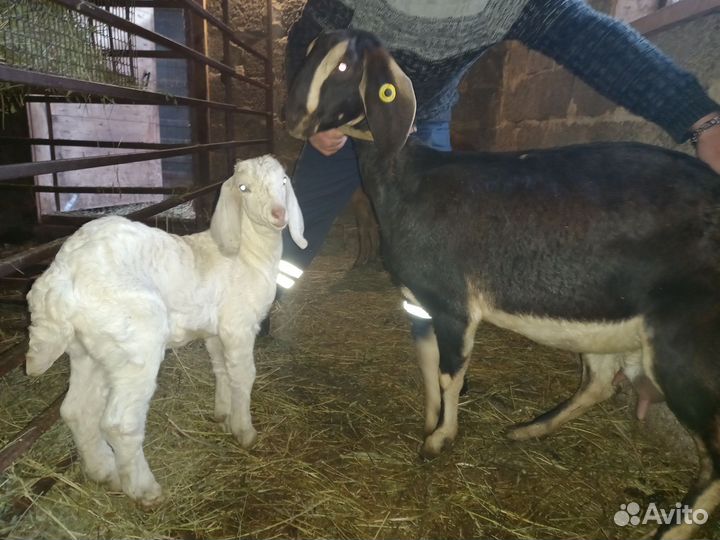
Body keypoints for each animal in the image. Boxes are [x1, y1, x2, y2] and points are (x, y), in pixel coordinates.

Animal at [25, 155, 306, 507]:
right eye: (244, 188)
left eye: (283, 181)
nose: (278, 214)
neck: (246, 255)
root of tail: (59, 276)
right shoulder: (238, 326)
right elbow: (244, 376)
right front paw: (245, 431)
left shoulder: (215, 333)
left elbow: (222, 370)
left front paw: (223, 414)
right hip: (136, 344)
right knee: (119, 423)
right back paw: (144, 490)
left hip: (90, 350)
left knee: (76, 410)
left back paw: (104, 470)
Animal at [284, 29, 720, 539]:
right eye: (310, 52)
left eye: (344, 67)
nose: (292, 119)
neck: (410, 181)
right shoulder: (421, 301)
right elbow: (427, 363)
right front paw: (430, 422)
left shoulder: (454, 305)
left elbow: (451, 374)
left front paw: (440, 439)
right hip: (604, 322)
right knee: (599, 383)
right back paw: (528, 429)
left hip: (684, 343)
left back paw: (671, 529)